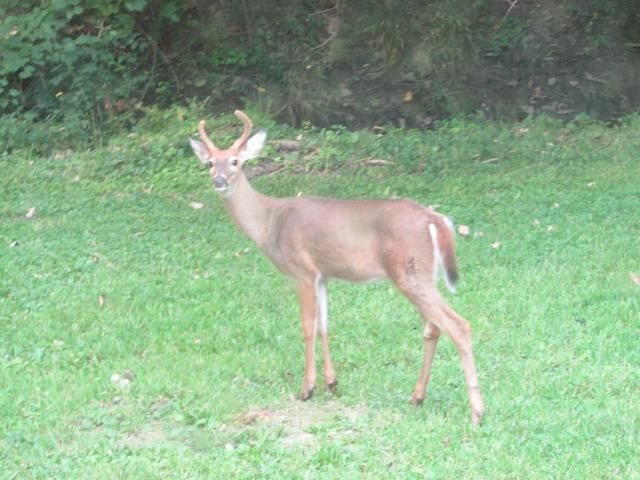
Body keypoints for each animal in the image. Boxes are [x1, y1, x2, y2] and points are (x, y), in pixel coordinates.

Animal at [189, 110, 485, 424]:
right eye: (210, 162)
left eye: (235, 161)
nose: (219, 180)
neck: (269, 223)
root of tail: (435, 219)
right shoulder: (322, 276)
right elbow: (324, 326)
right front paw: (331, 383)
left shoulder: (302, 271)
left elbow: (307, 327)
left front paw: (307, 388)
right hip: (425, 274)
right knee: (433, 327)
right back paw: (418, 397)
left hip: (409, 271)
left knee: (458, 325)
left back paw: (477, 412)